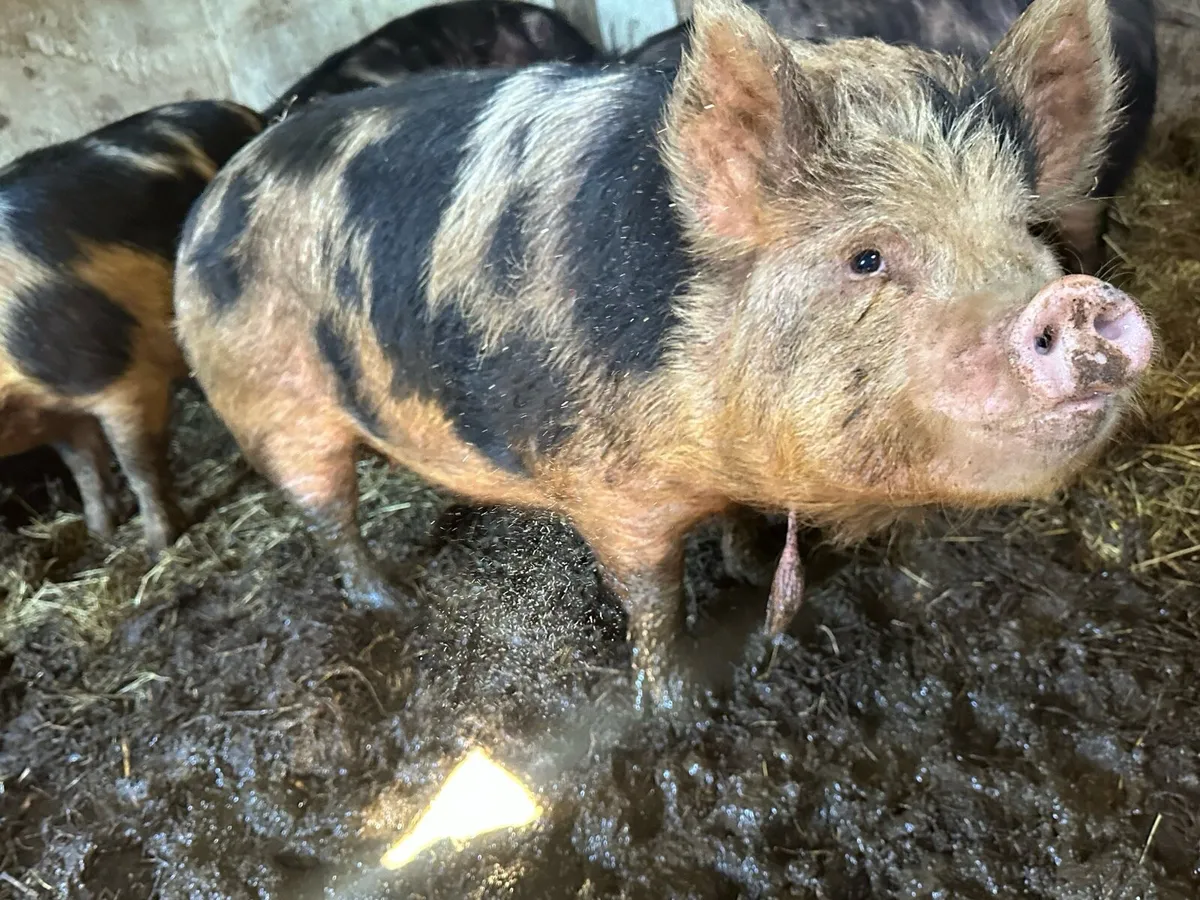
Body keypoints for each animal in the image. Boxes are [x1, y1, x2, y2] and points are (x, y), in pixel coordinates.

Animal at [0, 100, 264, 555]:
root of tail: (242, 110)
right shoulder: (54, 412)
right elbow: (84, 468)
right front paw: (100, 533)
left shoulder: (112, 374)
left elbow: (138, 463)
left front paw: (158, 545)